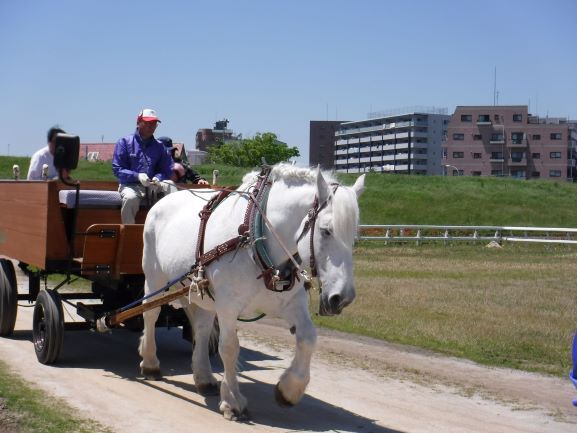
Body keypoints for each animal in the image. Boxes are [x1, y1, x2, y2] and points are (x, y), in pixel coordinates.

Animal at [139, 163, 362, 418]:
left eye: (354, 236)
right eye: (326, 231)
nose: (342, 298)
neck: (256, 238)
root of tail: (165, 197)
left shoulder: (292, 302)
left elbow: (307, 338)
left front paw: (290, 389)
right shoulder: (227, 305)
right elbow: (229, 347)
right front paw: (232, 400)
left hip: (203, 292)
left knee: (202, 328)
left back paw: (204, 377)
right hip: (154, 277)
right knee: (150, 314)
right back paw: (150, 363)